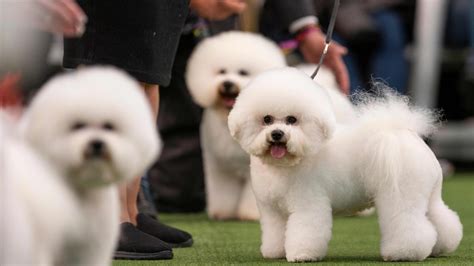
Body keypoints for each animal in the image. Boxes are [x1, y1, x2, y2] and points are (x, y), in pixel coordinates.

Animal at [185, 30, 286, 220]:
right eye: (222, 71)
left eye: (243, 72)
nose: (227, 83)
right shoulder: (220, 167)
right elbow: (223, 191)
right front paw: (222, 212)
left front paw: (250, 214)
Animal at [228, 67, 462, 262]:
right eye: (267, 119)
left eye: (292, 120)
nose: (277, 134)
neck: (288, 164)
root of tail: (402, 135)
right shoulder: (272, 211)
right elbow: (275, 232)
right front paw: (275, 252)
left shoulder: (308, 204)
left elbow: (305, 230)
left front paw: (302, 255)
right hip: (429, 194)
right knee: (441, 219)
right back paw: (440, 248)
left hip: (401, 194)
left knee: (410, 224)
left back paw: (403, 253)